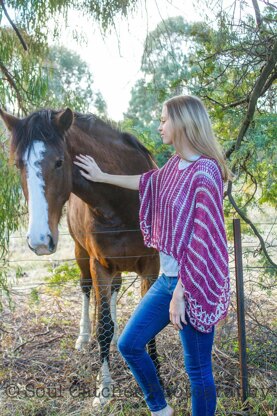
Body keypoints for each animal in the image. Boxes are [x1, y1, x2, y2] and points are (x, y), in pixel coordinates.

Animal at [0, 108, 160, 406]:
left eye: (59, 162)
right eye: (18, 164)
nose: (40, 240)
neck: (122, 203)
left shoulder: (151, 266)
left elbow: (147, 322)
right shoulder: (100, 265)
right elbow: (103, 326)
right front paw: (103, 388)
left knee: (114, 292)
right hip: (81, 255)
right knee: (87, 291)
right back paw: (84, 337)